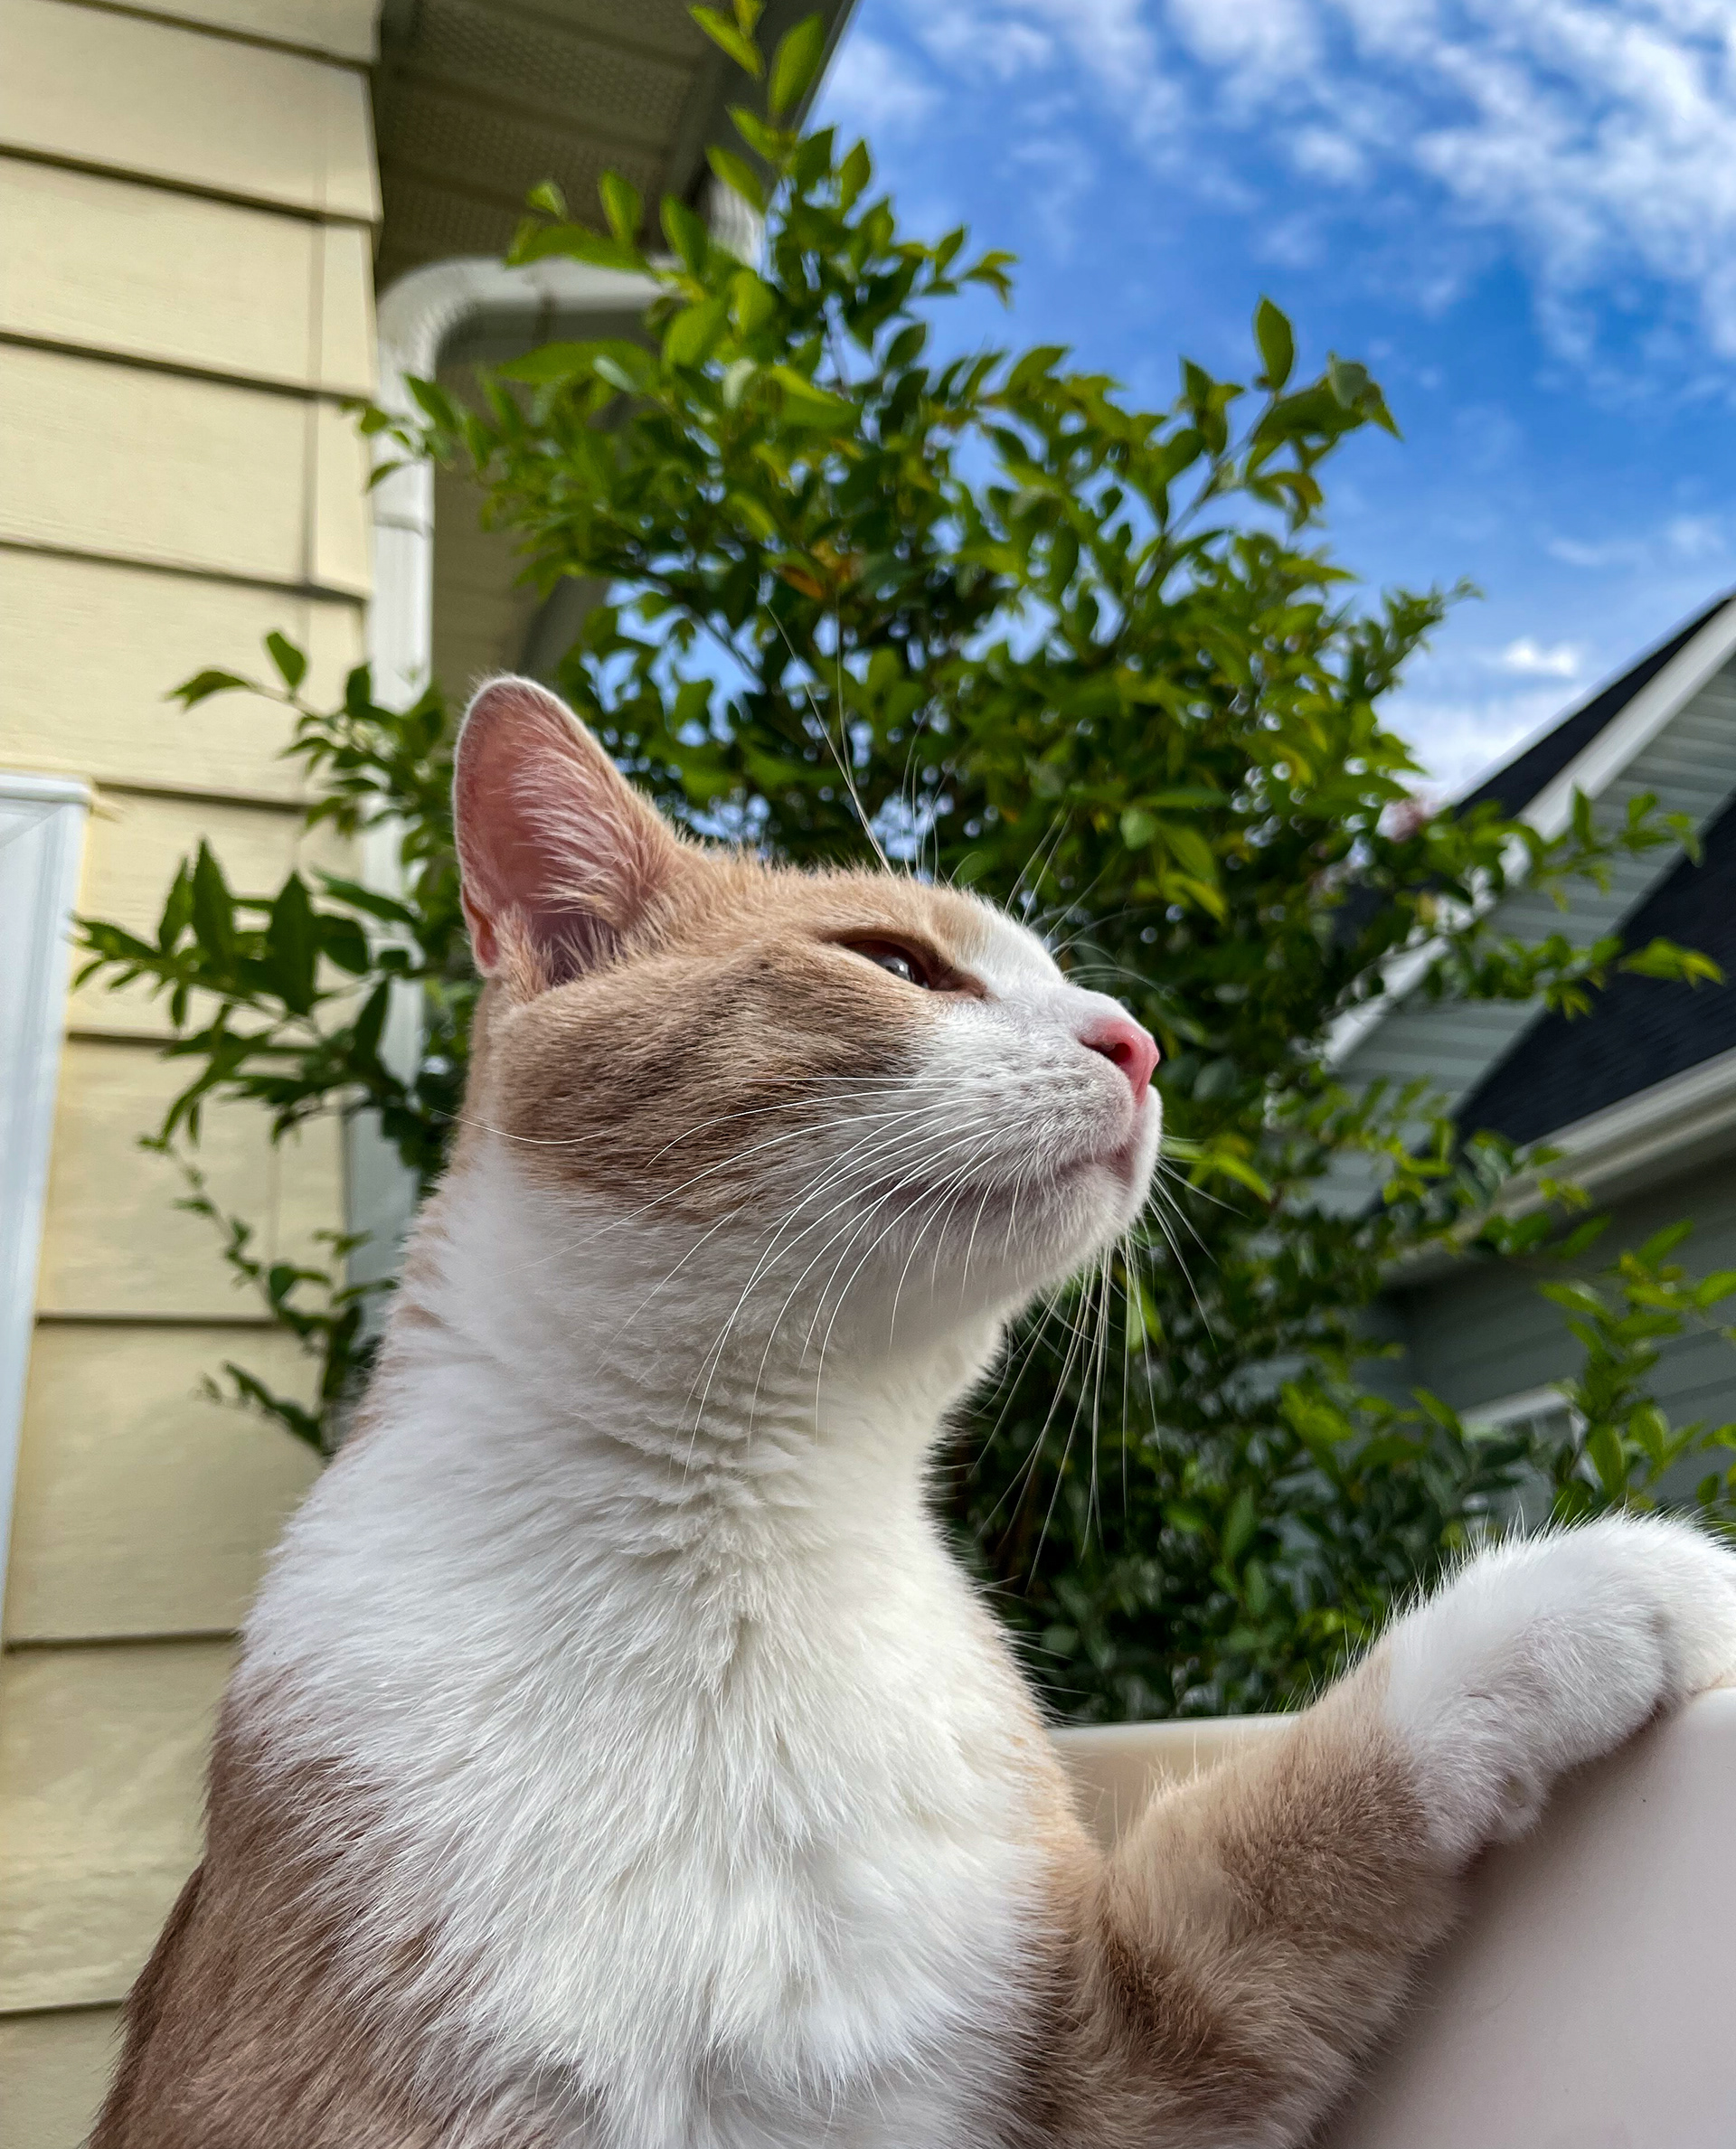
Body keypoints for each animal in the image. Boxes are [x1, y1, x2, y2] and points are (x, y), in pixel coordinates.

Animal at [93, 675, 1736, 2149]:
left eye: (1081, 986)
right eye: (896, 960)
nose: (1137, 1040)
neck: (743, 1565)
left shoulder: (1095, 2067)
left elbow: (1264, 1847)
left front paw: (1584, 1598)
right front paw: (1615, 1580)